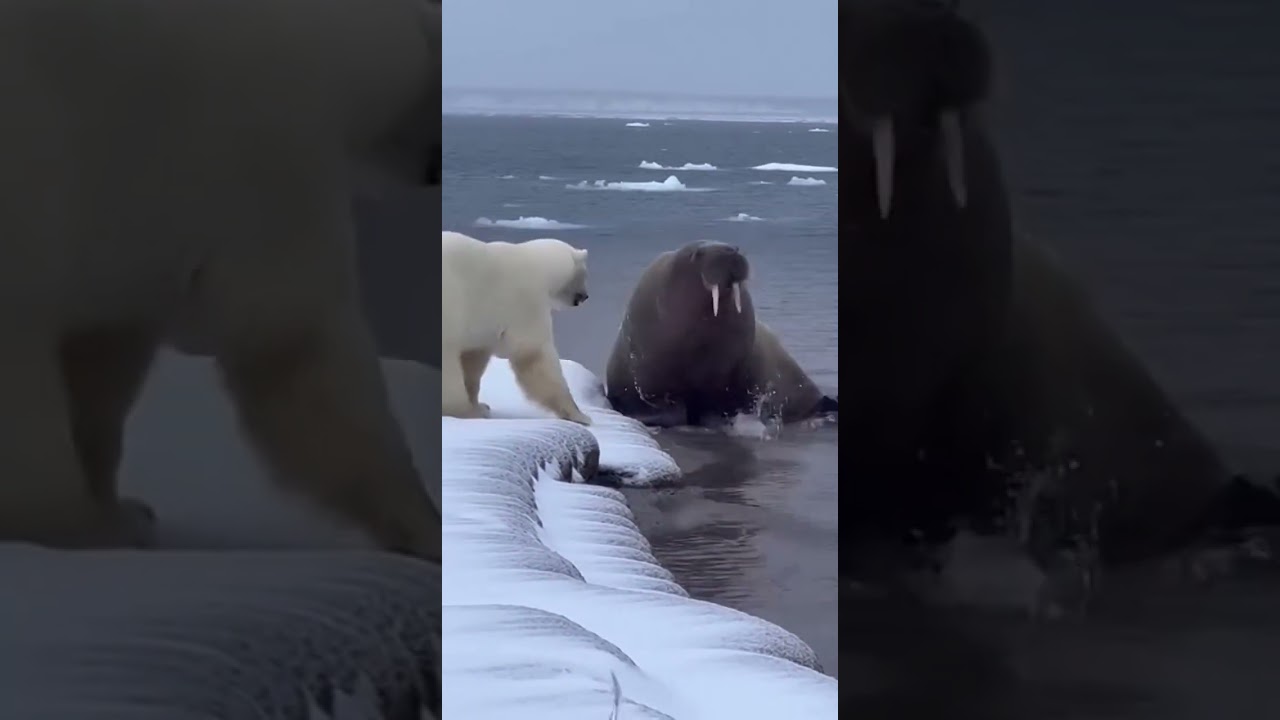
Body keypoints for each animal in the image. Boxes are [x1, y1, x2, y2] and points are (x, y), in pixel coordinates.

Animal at [440, 231, 593, 426]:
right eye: (584, 274)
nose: (585, 296)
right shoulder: (524, 302)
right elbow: (534, 354)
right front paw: (580, 415)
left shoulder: (481, 321)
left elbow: (473, 358)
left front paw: (481, 405)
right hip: (449, 304)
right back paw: (465, 411)